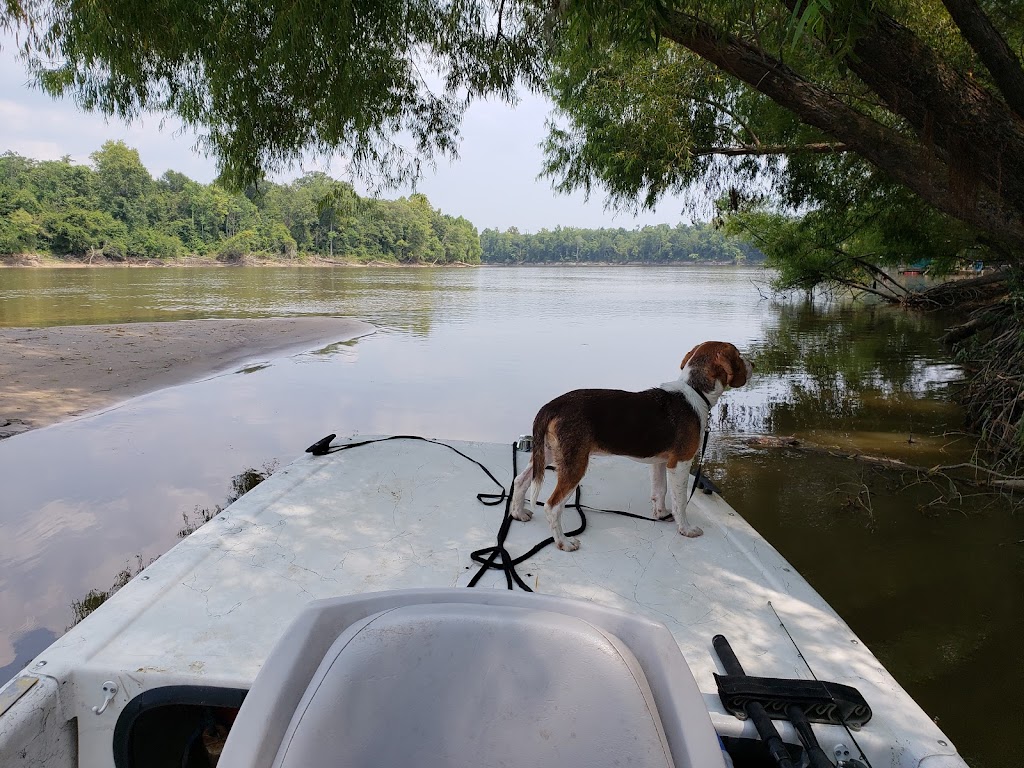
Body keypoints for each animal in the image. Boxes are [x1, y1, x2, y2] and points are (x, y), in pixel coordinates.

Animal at [509, 342, 753, 552]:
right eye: (739, 355)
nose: (753, 364)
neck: (695, 390)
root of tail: (551, 406)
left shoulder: (661, 462)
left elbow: (660, 491)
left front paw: (661, 514)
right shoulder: (681, 463)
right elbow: (681, 501)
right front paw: (685, 528)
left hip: (548, 453)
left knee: (520, 480)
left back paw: (519, 513)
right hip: (574, 464)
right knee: (552, 506)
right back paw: (564, 543)